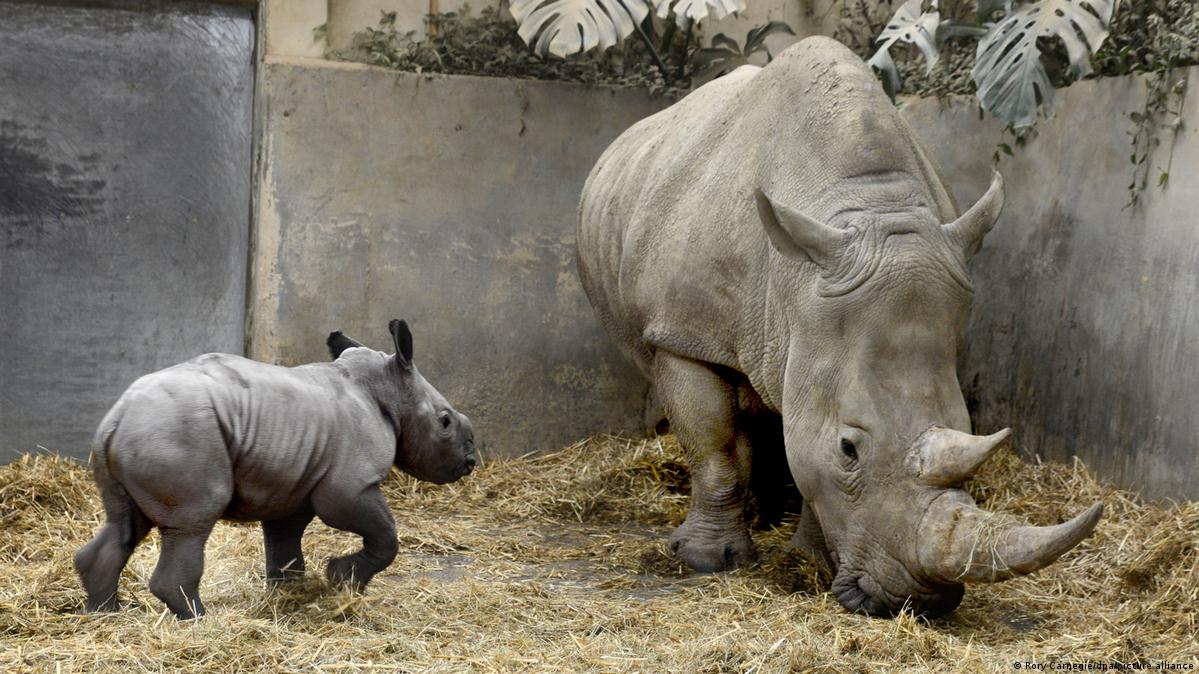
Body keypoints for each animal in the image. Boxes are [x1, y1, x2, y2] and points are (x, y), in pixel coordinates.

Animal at [74, 319, 477, 619]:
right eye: (444, 422)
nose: (470, 461)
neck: (387, 388)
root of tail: (115, 420)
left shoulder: (295, 483)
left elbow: (285, 542)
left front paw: (291, 595)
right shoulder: (351, 485)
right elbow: (385, 536)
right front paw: (342, 581)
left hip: (142, 438)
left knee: (125, 523)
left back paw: (104, 613)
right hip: (178, 435)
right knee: (191, 523)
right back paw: (199, 618)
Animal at [577, 37, 1102, 617]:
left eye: (966, 427)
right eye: (848, 449)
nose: (918, 599)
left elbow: (803, 449)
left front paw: (806, 561)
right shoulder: (685, 334)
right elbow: (714, 445)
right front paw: (707, 561)